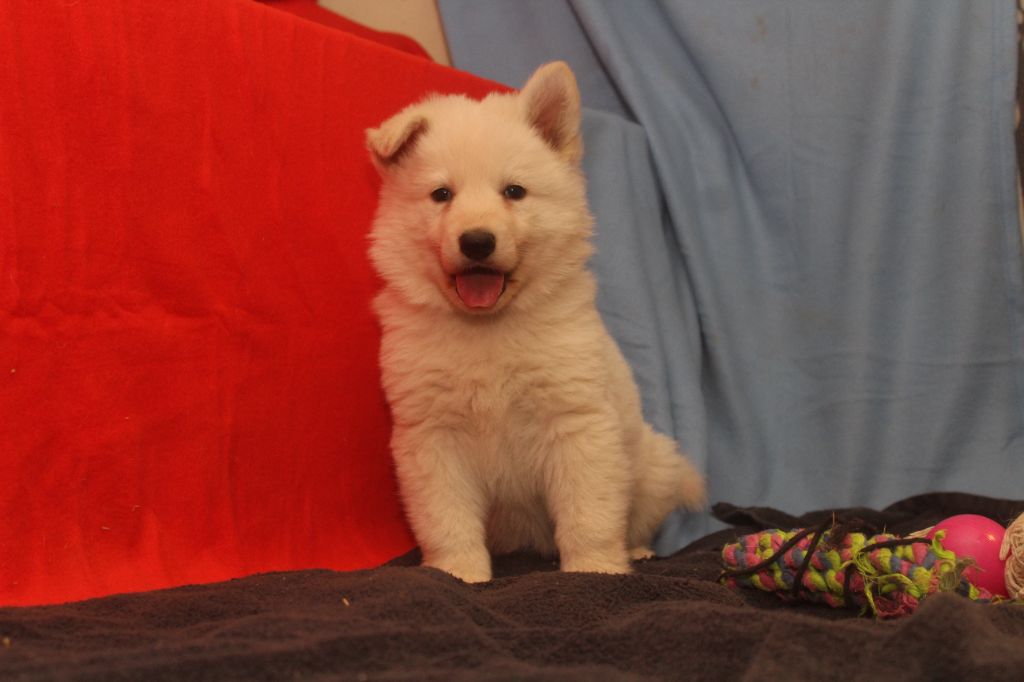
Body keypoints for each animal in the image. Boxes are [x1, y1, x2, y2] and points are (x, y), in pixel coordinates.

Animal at [364, 62, 708, 577]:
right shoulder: (430, 437)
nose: (477, 241)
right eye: (442, 194)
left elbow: (589, 512)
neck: (487, 327)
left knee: (637, 518)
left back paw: (636, 551)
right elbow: (446, 517)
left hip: (654, 464)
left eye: (514, 192)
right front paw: (458, 572)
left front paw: (595, 568)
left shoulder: (576, 422)